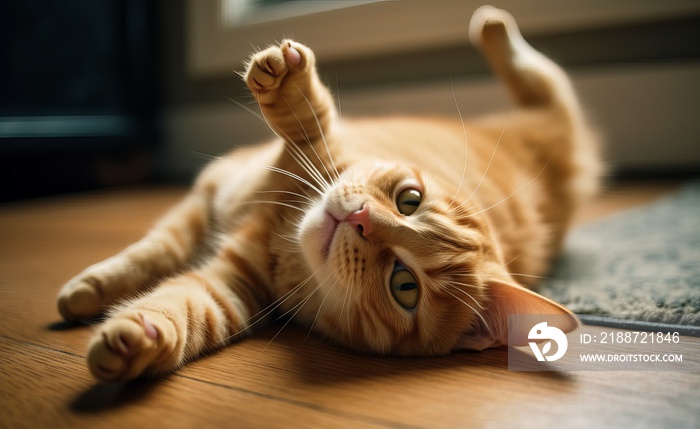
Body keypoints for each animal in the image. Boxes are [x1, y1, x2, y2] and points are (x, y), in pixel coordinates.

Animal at [56, 6, 600, 380]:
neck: (283, 229)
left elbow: (184, 307)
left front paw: (141, 339)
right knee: (535, 73)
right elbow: (152, 251)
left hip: (558, 117)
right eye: (409, 201)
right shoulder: (213, 196)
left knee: (547, 79)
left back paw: (494, 27)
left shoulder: (232, 290)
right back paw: (492, 26)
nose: (359, 219)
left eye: (405, 286)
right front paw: (90, 290)